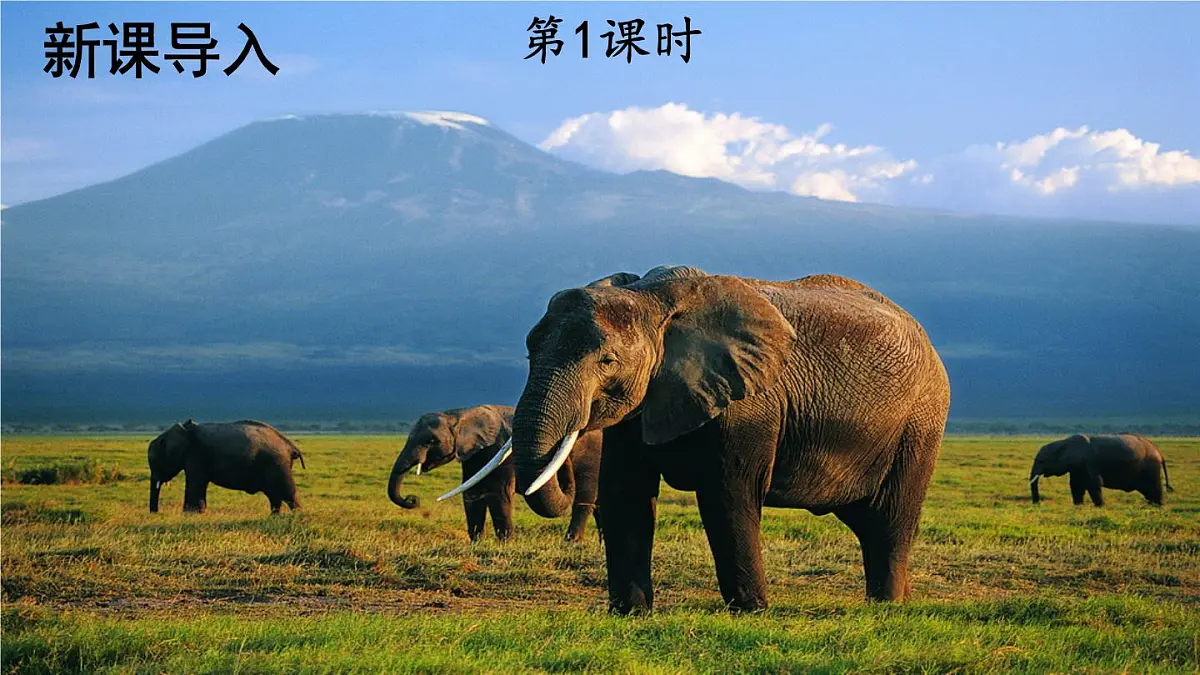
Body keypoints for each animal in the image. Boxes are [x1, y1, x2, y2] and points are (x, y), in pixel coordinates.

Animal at [148, 419, 306, 514]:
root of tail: (290, 446)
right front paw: (198, 513)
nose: (156, 512)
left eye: (156, 462)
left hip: (277, 464)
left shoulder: (195, 454)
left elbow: (195, 482)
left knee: (287, 492)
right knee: (274, 494)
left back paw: (297, 516)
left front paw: (190, 514)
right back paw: (274, 516)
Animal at [388, 405, 603, 542]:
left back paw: (571, 542)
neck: (458, 415)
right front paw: (476, 543)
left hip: (592, 457)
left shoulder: (498, 450)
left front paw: (506, 544)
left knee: (584, 500)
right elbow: (472, 494)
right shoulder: (474, 455)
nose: (412, 499)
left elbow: (499, 493)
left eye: (431, 441)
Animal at [444, 265, 951, 614]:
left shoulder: (750, 402)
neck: (652, 299)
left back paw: (887, 606)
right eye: (529, 350)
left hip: (921, 422)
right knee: (867, 522)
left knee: (890, 520)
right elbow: (627, 494)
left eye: (607, 361)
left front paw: (751, 613)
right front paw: (630, 614)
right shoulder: (640, 406)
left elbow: (728, 496)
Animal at [1029, 433, 1174, 506]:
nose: (1037, 504)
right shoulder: (1077, 467)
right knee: (1148, 491)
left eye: (1042, 461)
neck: (1063, 442)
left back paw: (1158, 506)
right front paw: (1078, 506)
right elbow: (1076, 485)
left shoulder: (1089, 463)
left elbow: (1093, 483)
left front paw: (1100, 506)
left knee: (1154, 488)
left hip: (1151, 468)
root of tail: (1160, 453)